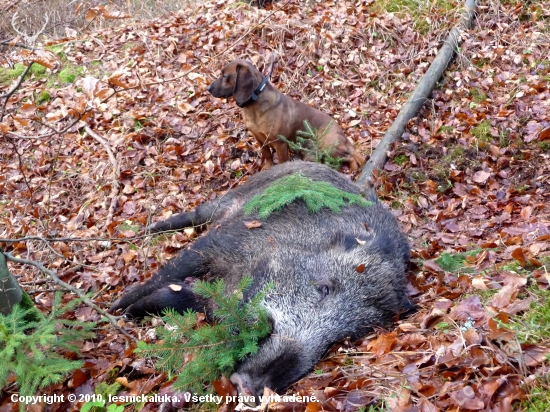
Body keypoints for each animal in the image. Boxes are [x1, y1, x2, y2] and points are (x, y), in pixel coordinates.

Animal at [207, 58, 366, 170]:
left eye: (225, 76)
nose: (208, 88)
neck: (254, 106)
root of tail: (344, 137)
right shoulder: (259, 139)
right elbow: (267, 155)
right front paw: (267, 168)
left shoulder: (280, 144)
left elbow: (282, 161)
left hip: (327, 147)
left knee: (349, 157)